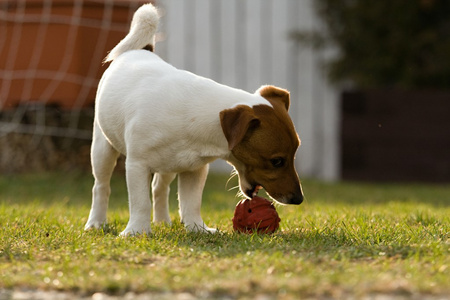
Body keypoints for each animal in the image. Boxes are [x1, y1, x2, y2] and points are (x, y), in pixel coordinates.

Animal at [84, 3, 302, 236]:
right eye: (277, 161)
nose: (299, 199)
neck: (195, 117)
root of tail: (142, 49)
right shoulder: (137, 164)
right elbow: (140, 202)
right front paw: (136, 232)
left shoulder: (194, 169)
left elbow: (191, 202)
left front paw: (197, 229)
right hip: (102, 148)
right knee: (101, 186)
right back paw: (95, 222)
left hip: (169, 165)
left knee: (160, 188)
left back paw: (162, 221)